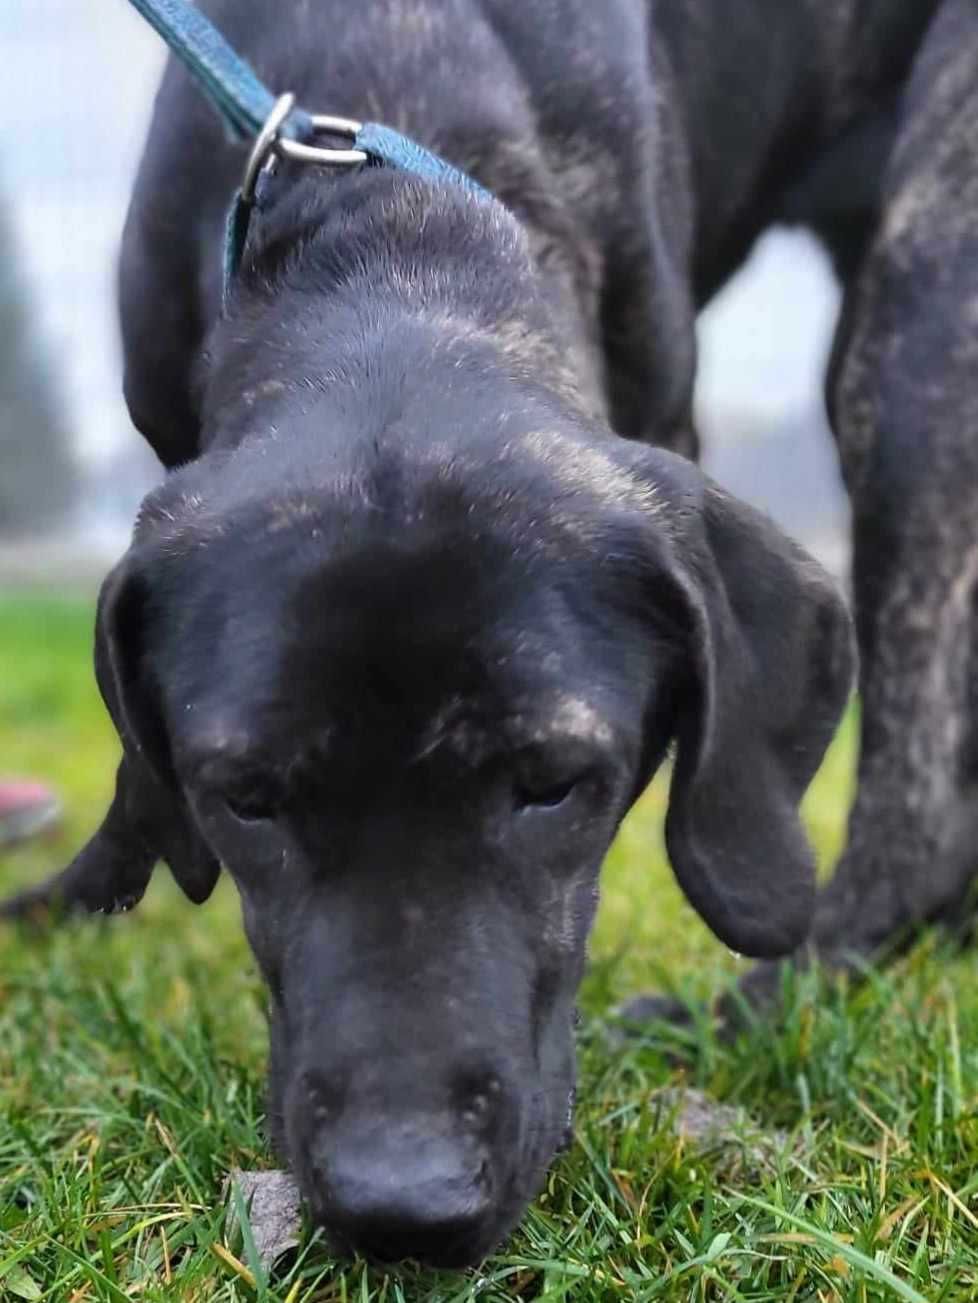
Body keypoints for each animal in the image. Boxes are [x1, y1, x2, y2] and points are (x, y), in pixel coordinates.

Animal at [5, 0, 974, 1271]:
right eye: (245, 797)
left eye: (557, 780)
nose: (401, 1203)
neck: (391, 232)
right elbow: (135, 767)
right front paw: (90, 884)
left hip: (917, 325)